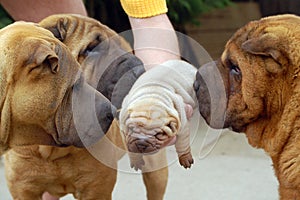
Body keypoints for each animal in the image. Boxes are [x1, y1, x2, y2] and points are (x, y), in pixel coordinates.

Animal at [3, 14, 169, 200]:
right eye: (90, 49)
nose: (137, 68)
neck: (53, 151)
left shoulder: (96, 189)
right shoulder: (24, 189)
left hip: (156, 172)